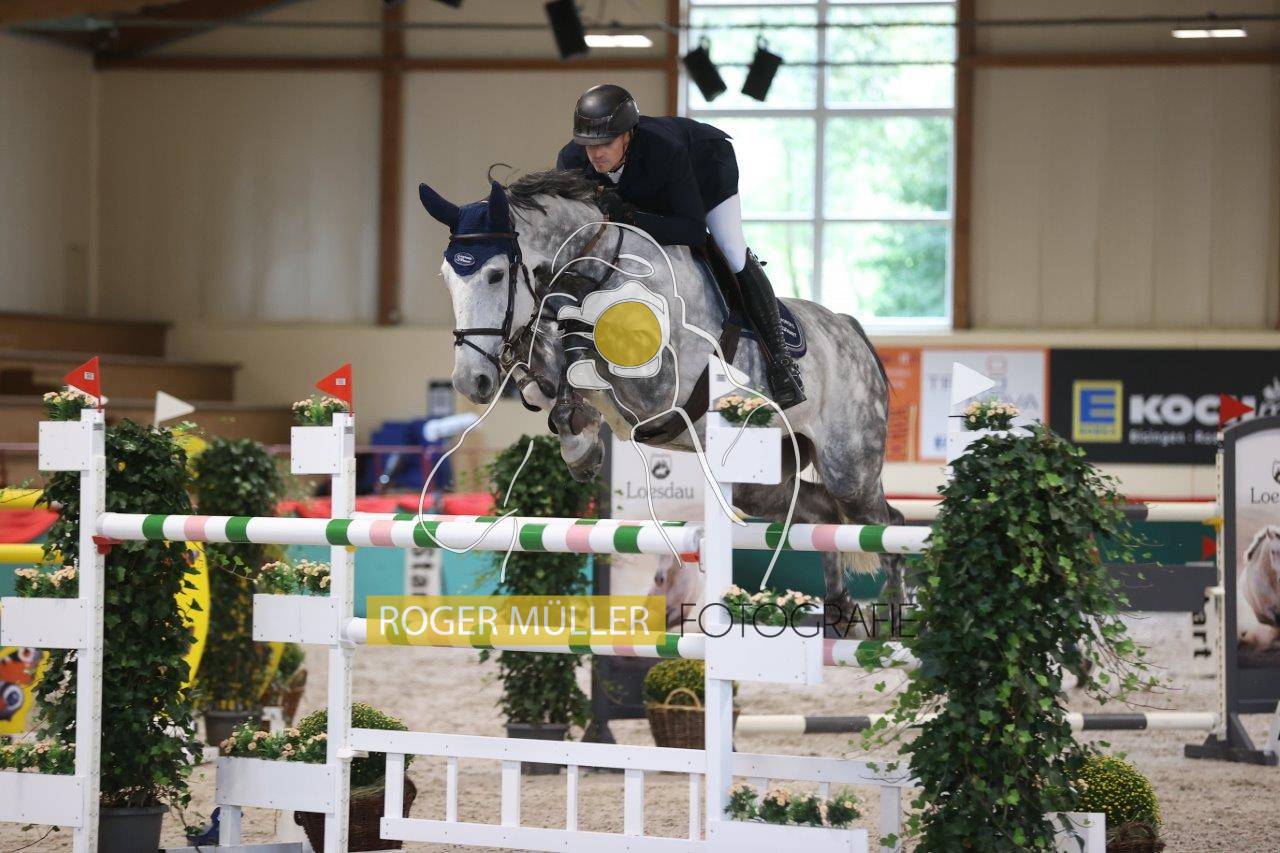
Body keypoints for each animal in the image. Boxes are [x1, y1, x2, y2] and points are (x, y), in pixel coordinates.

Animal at [418, 171, 904, 612]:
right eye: (446, 277)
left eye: (495, 275)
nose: (470, 382)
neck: (598, 268)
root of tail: (852, 331)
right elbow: (545, 376)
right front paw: (579, 441)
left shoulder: (660, 386)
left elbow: (584, 352)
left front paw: (580, 432)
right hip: (760, 475)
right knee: (823, 515)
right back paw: (840, 611)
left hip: (850, 467)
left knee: (884, 525)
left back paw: (895, 622)